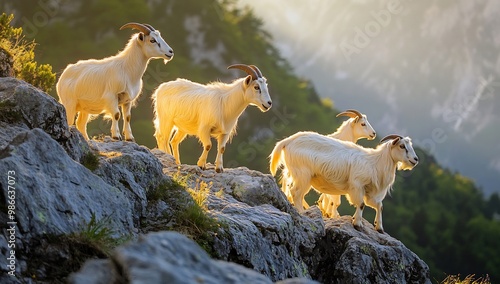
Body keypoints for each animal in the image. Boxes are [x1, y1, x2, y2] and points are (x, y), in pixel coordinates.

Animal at [270, 133, 418, 233]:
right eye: (402, 146)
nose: (415, 159)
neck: (375, 162)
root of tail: (288, 141)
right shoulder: (357, 185)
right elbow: (361, 204)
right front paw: (357, 224)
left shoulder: (370, 191)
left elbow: (378, 206)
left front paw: (379, 227)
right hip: (303, 175)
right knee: (296, 193)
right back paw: (303, 213)